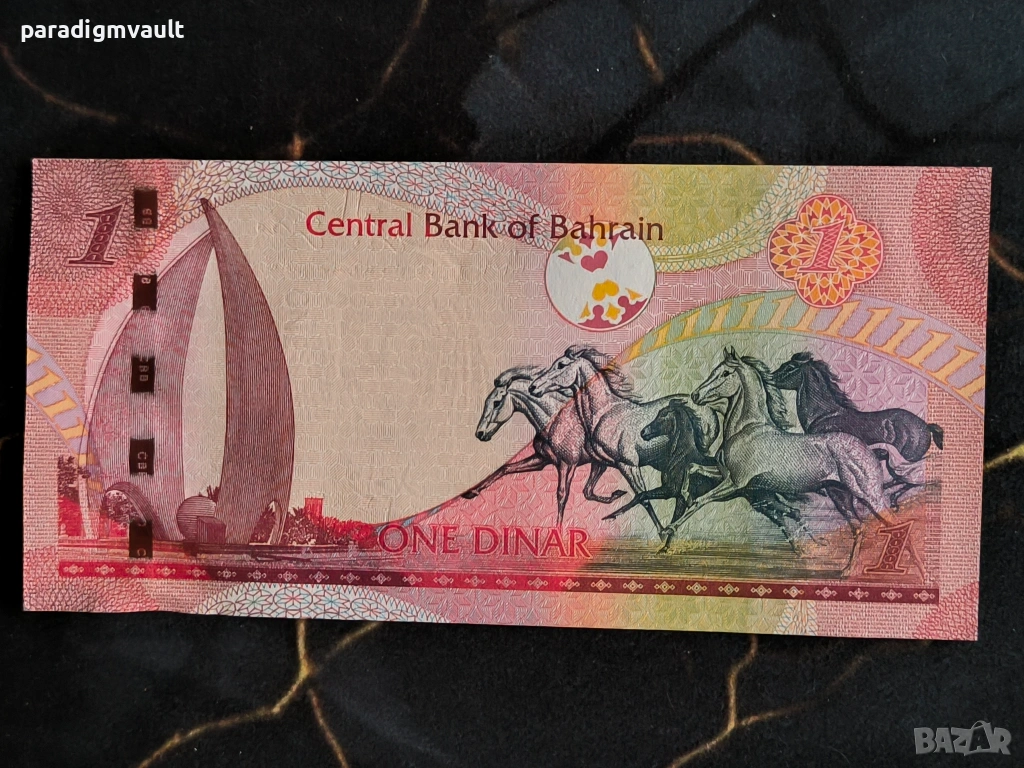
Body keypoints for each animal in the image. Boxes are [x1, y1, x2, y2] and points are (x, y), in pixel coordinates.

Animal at [463, 365, 626, 526]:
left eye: (496, 402)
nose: (480, 433)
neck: (555, 422)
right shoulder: (542, 459)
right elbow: (506, 468)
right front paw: (471, 492)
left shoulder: (568, 464)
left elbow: (562, 495)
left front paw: (557, 529)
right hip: (599, 463)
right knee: (589, 490)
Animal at [529, 346, 720, 538]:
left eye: (561, 365)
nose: (533, 387)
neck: (604, 413)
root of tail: (707, 407)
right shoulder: (601, 463)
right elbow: (588, 491)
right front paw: (617, 496)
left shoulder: (629, 465)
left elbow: (644, 498)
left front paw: (661, 531)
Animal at [677, 348, 896, 574]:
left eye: (725, 373)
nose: (695, 395)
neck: (746, 428)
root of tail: (867, 450)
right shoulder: (725, 476)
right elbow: (692, 468)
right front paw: (685, 495)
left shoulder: (735, 482)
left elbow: (701, 500)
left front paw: (671, 527)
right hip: (841, 497)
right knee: (859, 527)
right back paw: (846, 570)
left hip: (869, 495)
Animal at [772, 352, 943, 500]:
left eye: (790, 367)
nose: (770, 378)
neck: (825, 415)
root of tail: (926, 426)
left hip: (904, 460)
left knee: (910, 478)